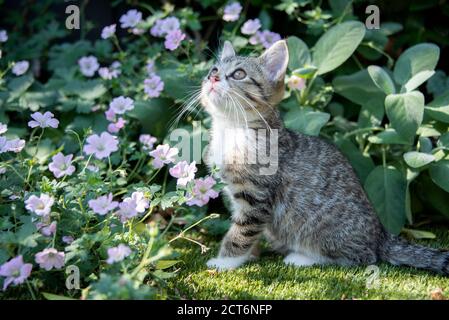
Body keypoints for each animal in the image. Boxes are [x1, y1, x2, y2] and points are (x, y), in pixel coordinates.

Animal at [200, 39, 448, 272]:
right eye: (214, 69)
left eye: (239, 74)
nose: (213, 78)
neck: (232, 128)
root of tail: (380, 235)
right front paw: (250, 255)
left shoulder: (256, 197)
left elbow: (241, 232)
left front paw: (225, 262)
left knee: (364, 257)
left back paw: (303, 258)